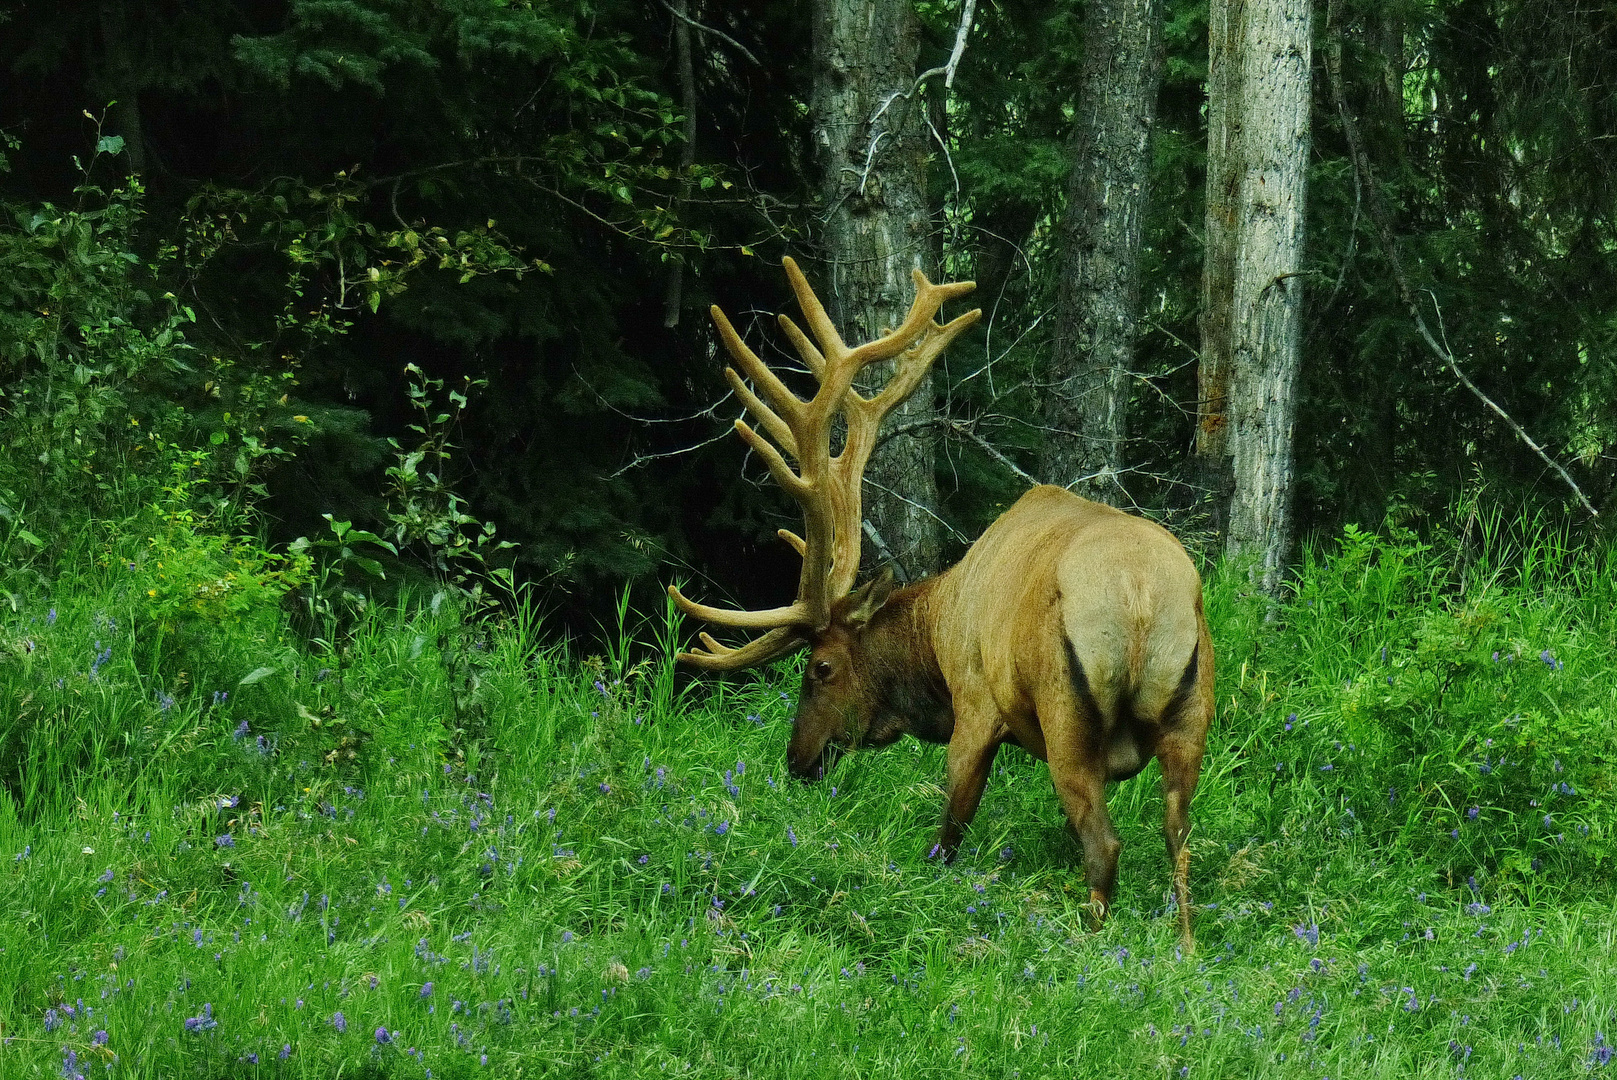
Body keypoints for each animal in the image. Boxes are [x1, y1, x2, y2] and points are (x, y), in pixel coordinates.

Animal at [669, 257, 1215, 937]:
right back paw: (1184, 946)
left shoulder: (975, 702)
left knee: (1104, 845)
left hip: (1066, 713)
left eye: (819, 668)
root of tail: (1141, 596)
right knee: (1179, 841)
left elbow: (950, 830)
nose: (797, 760)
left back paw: (1089, 939)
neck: (936, 630)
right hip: (1192, 712)